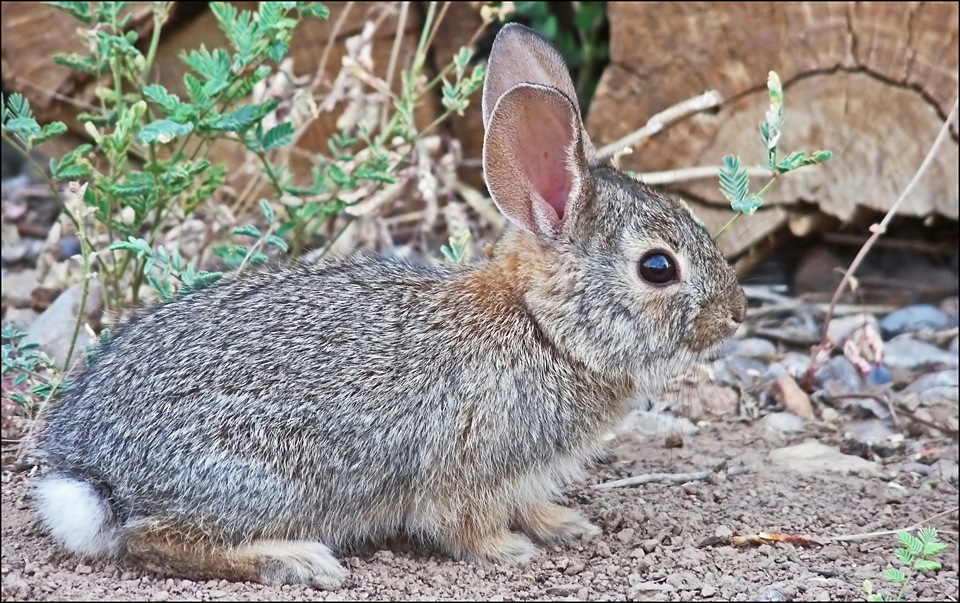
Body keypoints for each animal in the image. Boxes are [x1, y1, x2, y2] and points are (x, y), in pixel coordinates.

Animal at [33, 24, 748, 588]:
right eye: (658, 268)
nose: (736, 312)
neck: (544, 328)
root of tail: (91, 475)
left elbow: (531, 503)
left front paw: (563, 524)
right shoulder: (469, 465)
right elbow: (465, 525)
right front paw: (510, 550)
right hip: (271, 475)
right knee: (151, 540)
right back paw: (294, 560)